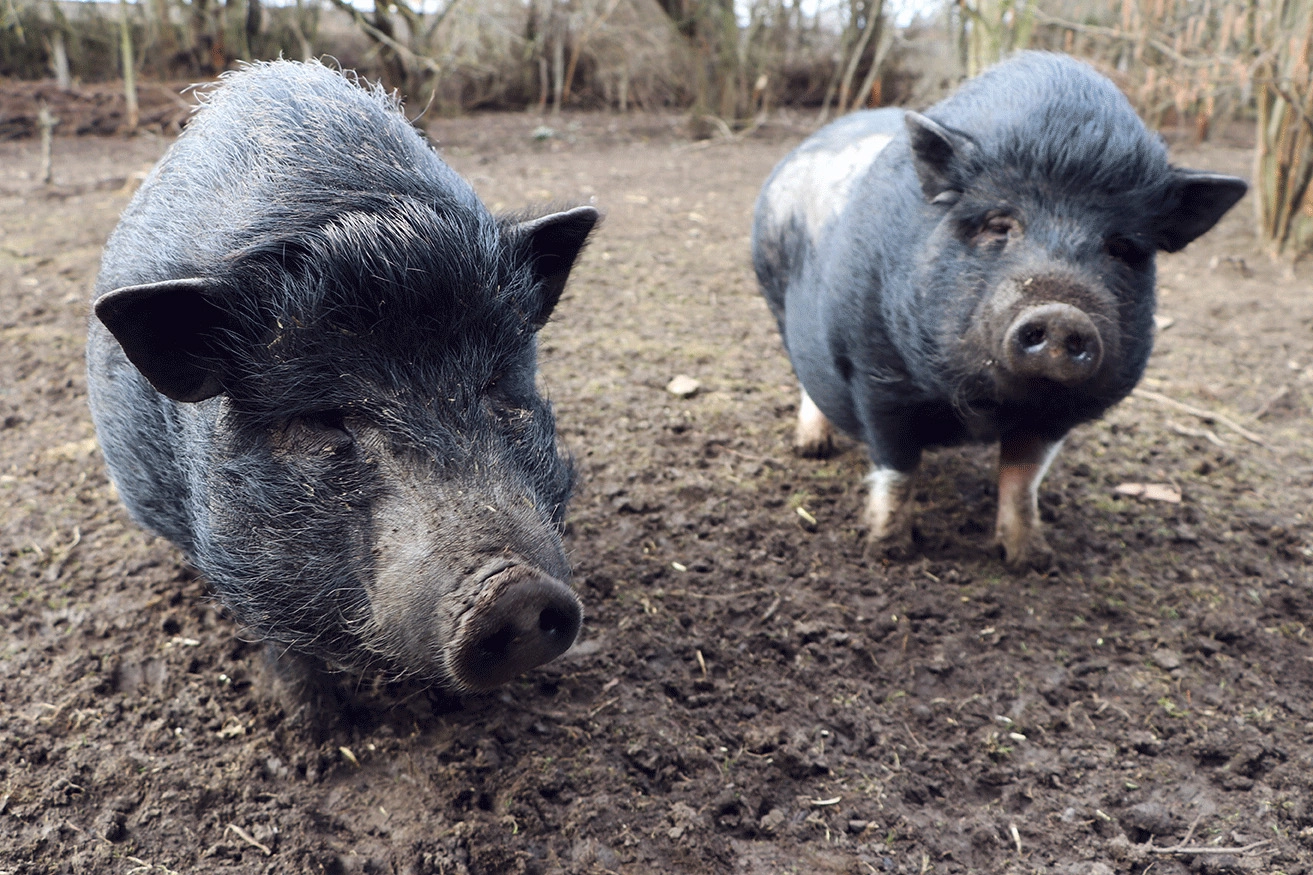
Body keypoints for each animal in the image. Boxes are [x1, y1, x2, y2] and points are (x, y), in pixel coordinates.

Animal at [756, 51, 1244, 564]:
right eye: (999, 223)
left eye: (1121, 247)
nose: (1061, 312)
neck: (985, 409)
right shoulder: (875, 371)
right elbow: (898, 466)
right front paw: (888, 551)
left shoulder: (1058, 414)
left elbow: (1022, 477)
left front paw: (1032, 559)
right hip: (776, 301)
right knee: (806, 376)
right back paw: (812, 448)